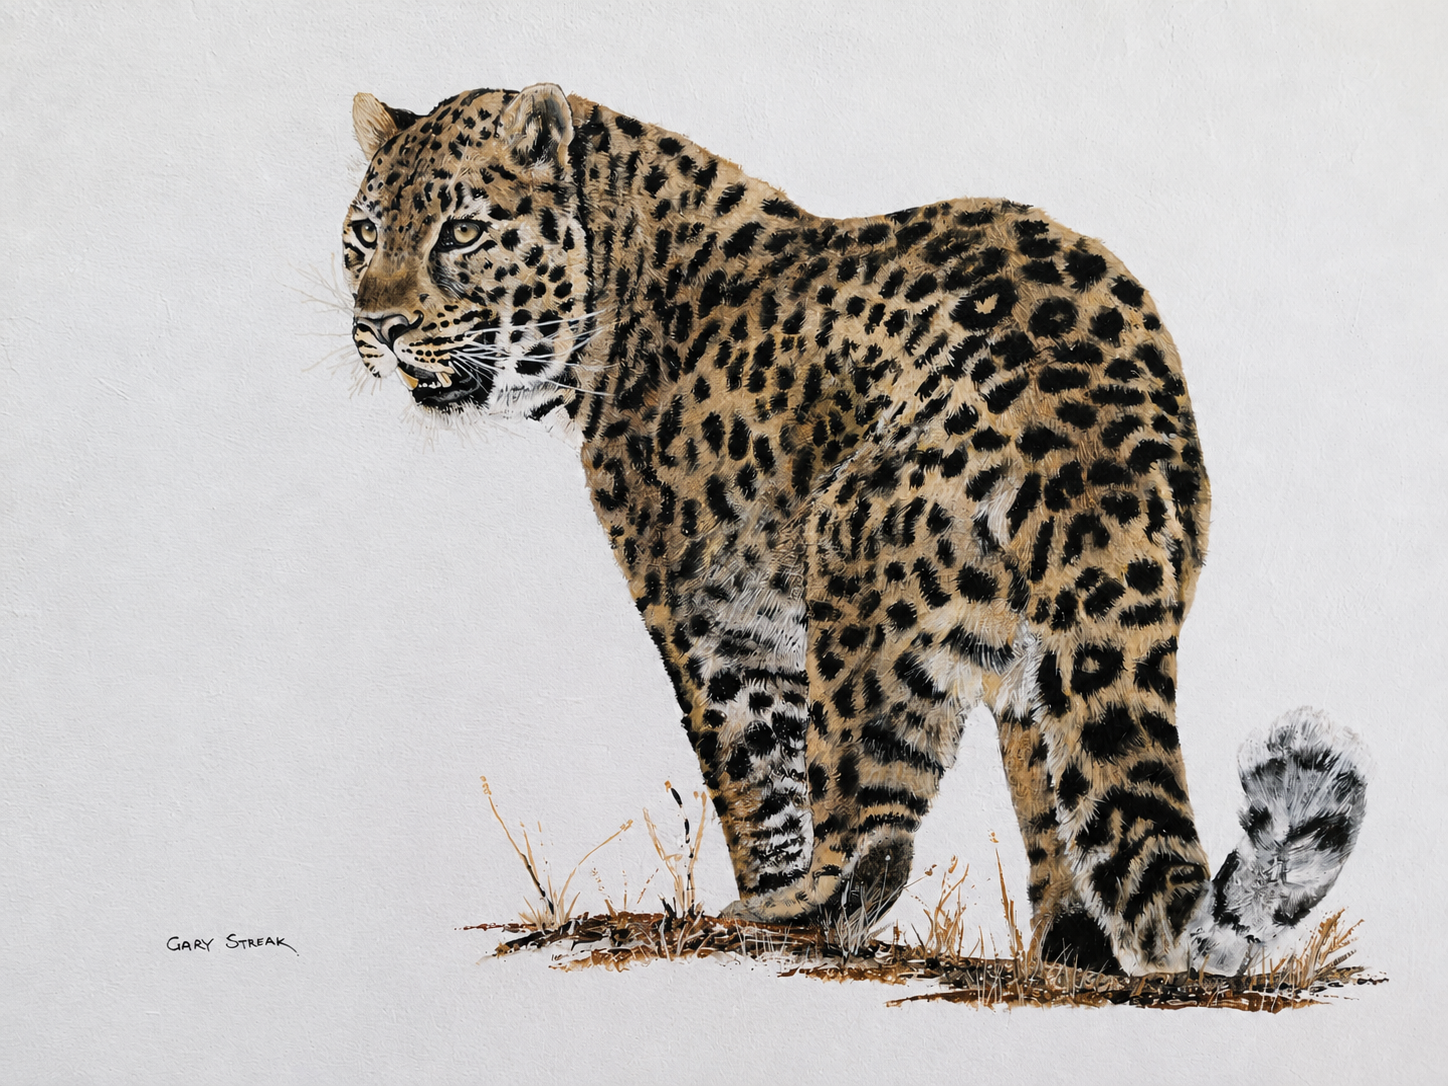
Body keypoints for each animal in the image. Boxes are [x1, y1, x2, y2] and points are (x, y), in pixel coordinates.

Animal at [341, 83, 1369, 975]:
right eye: (362, 236)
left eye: (462, 233)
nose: (378, 326)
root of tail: (1087, 427)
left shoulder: (717, 620)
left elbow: (757, 775)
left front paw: (765, 887)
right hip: (1053, 658)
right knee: (1067, 811)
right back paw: (1069, 954)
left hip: (857, 570)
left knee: (872, 836)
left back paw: (775, 917)